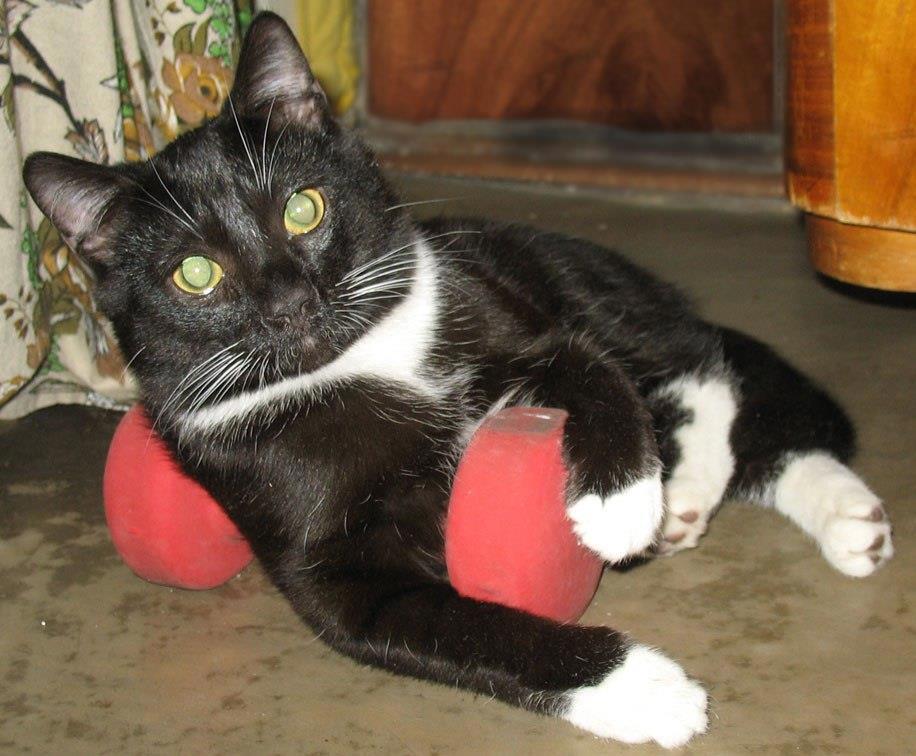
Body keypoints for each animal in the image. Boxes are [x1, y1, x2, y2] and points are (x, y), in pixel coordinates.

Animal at [23, 12, 893, 749]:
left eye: (305, 209)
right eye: (194, 275)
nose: (291, 304)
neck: (358, 363)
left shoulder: (513, 320)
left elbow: (590, 372)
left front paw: (618, 505)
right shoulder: (324, 563)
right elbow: (465, 628)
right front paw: (643, 688)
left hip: (562, 275)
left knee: (699, 367)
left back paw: (695, 486)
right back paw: (831, 516)